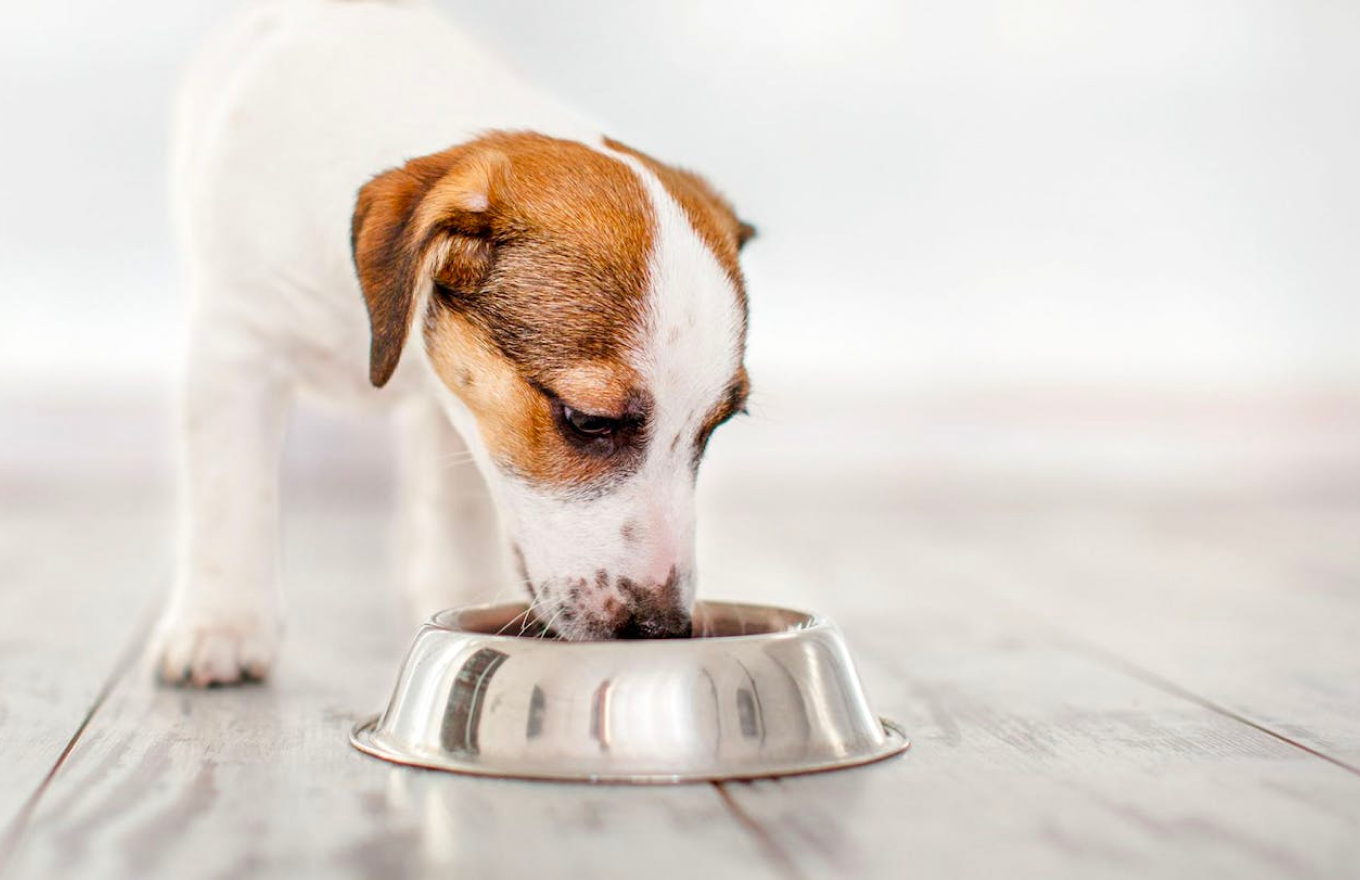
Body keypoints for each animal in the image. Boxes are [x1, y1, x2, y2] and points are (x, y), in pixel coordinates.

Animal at [155, 1, 761, 688]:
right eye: (586, 420)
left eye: (717, 426)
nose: (662, 628)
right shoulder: (236, 346)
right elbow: (230, 493)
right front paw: (220, 622)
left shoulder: (457, 405)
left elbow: (461, 502)